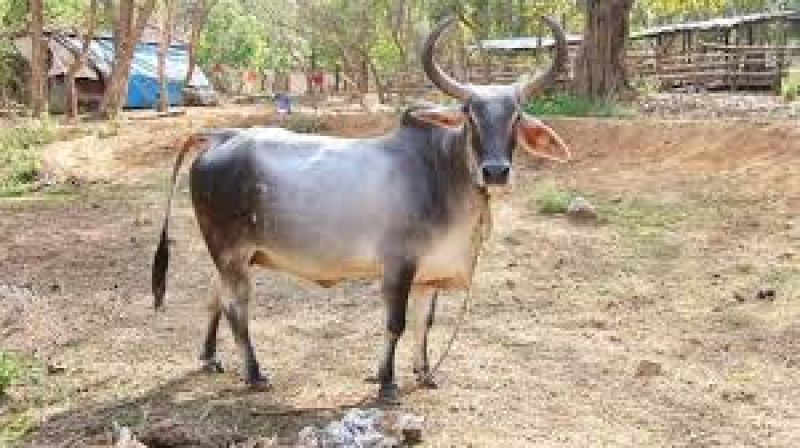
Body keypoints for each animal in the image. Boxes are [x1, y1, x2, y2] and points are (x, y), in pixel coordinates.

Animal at [152, 14, 571, 402]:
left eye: (517, 115)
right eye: (470, 113)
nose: (496, 171)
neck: (442, 174)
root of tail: (220, 137)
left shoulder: (429, 273)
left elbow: (424, 323)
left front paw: (424, 373)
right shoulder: (399, 265)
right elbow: (396, 324)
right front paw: (386, 382)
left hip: (228, 257)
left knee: (215, 297)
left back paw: (209, 357)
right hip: (231, 253)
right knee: (236, 310)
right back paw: (254, 374)